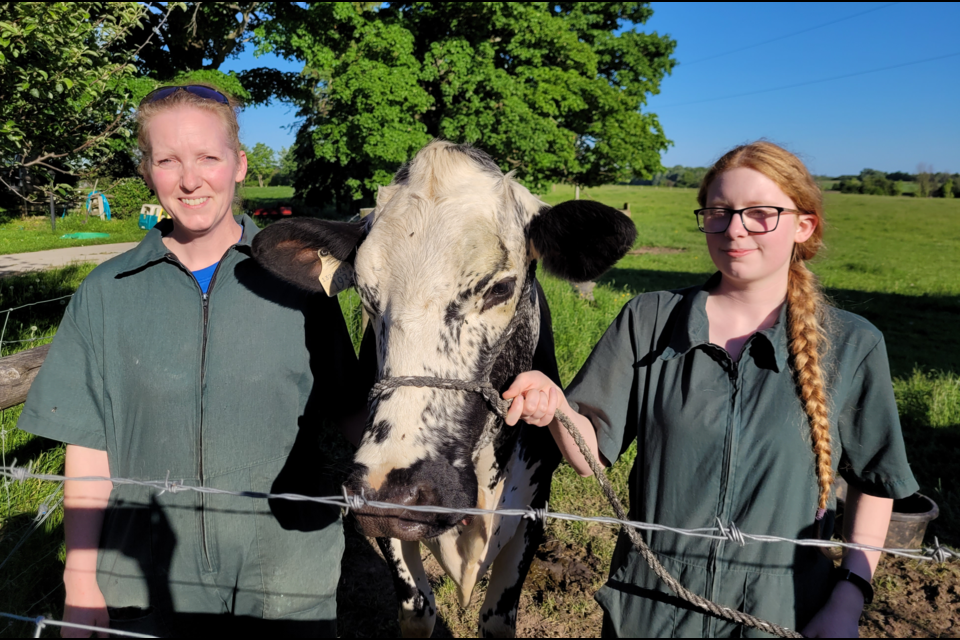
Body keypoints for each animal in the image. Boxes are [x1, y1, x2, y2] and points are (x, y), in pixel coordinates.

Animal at [253, 140, 636, 636]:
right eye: (365, 294)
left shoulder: (534, 508)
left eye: (500, 288)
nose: (394, 491)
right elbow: (417, 608)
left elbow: (497, 618)